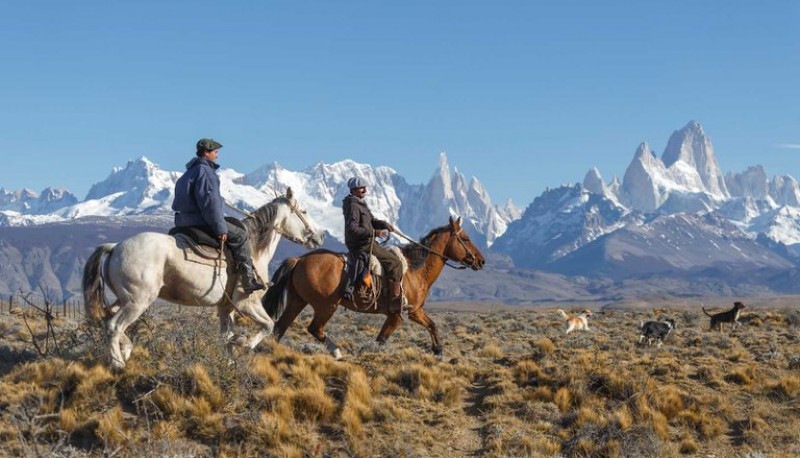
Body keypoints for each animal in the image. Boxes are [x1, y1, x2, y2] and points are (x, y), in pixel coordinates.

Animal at [84, 188, 324, 370]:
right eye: (303, 210)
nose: (320, 236)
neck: (255, 248)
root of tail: (115, 246)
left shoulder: (226, 308)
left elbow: (225, 336)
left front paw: (229, 362)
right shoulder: (247, 304)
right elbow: (267, 325)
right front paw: (245, 343)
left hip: (125, 299)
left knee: (109, 319)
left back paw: (125, 350)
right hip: (138, 301)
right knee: (114, 326)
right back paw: (118, 364)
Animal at [266, 216, 484, 360]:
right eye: (465, 238)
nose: (481, 261)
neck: (415, 270)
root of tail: (299, 260)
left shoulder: (414, 311)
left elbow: (432, 325)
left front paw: (438, 351)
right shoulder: (396, 316)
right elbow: (380, 340)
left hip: (297, 302)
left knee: (280, 328)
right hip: (326, 306)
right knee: (314, 328)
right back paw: (336, 352)